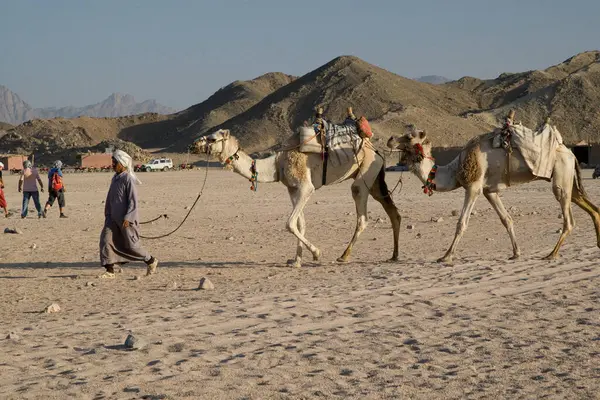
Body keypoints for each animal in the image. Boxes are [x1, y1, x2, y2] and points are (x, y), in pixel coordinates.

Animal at [190, 125, 400, 268]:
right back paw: (394, 255)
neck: (277, 164)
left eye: (212, 139)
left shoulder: (306, 187)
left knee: (362, 214)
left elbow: (290, 223)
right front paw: (296, 261)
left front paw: (316, 253)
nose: (193, 145)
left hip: (365, 174)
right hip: (375, 179)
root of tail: (377, 152)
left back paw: (344, 255)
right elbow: (300, 223)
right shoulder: (292, 189)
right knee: (393, 212)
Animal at [384, 117, 600, 264]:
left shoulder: (474, 186)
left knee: (569, 219)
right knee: (591, 207)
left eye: (409, 137)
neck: (454, 170)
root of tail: (571, 152)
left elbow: (461, 223)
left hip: (561, 177)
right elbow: (507, 219)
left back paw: (552, 254)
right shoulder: (490, 191)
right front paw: (516, 253)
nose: (390, 139)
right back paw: (596, 244)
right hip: (568, 180)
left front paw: (446, 256)